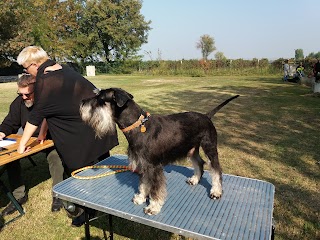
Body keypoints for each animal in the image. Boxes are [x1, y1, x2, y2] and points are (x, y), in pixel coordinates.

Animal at [80, 88, 239, 216]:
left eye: (100, 99)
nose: (81, 102)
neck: (138, 127)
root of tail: (206, 116)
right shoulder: (144, 165)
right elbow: (144, 183)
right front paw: (141, 197)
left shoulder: (154, 167)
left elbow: (156, 189)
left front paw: (153, 207)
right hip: (191, 150)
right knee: (199, 163)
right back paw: (195, 179)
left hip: (209, 147)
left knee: (216, 169)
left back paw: (216, 191)